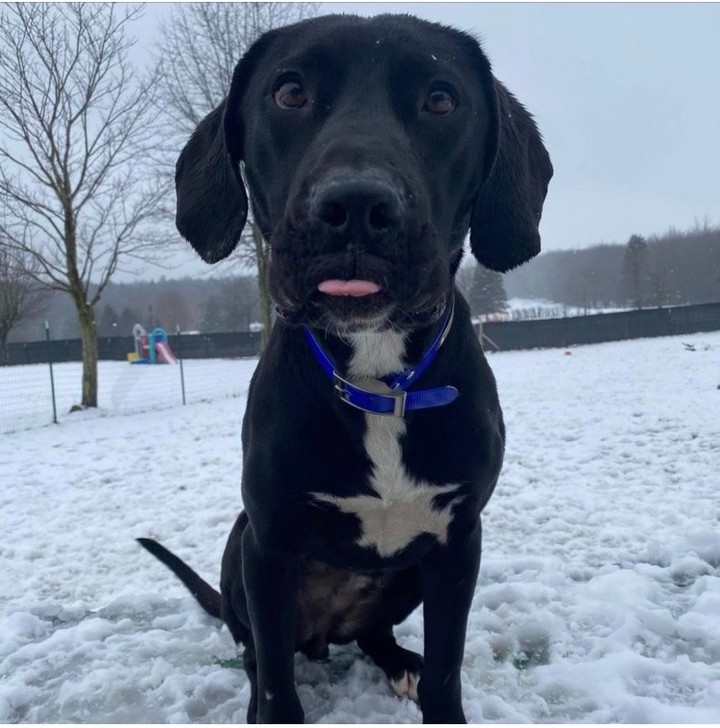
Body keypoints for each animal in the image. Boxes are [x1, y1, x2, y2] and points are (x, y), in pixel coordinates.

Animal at [139, 14, 552, 724]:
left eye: (441, 99)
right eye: (289, 93)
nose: (357, 205)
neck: (378, 376)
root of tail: (324, 632)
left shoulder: (458, 542)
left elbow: (447, 670)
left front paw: (433, 686)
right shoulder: (270, 544)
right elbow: (277, 688)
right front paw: (270, 704)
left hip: (404, 579)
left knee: (374, 634)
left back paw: (398, 661)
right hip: (240, 548)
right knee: (256, 652)